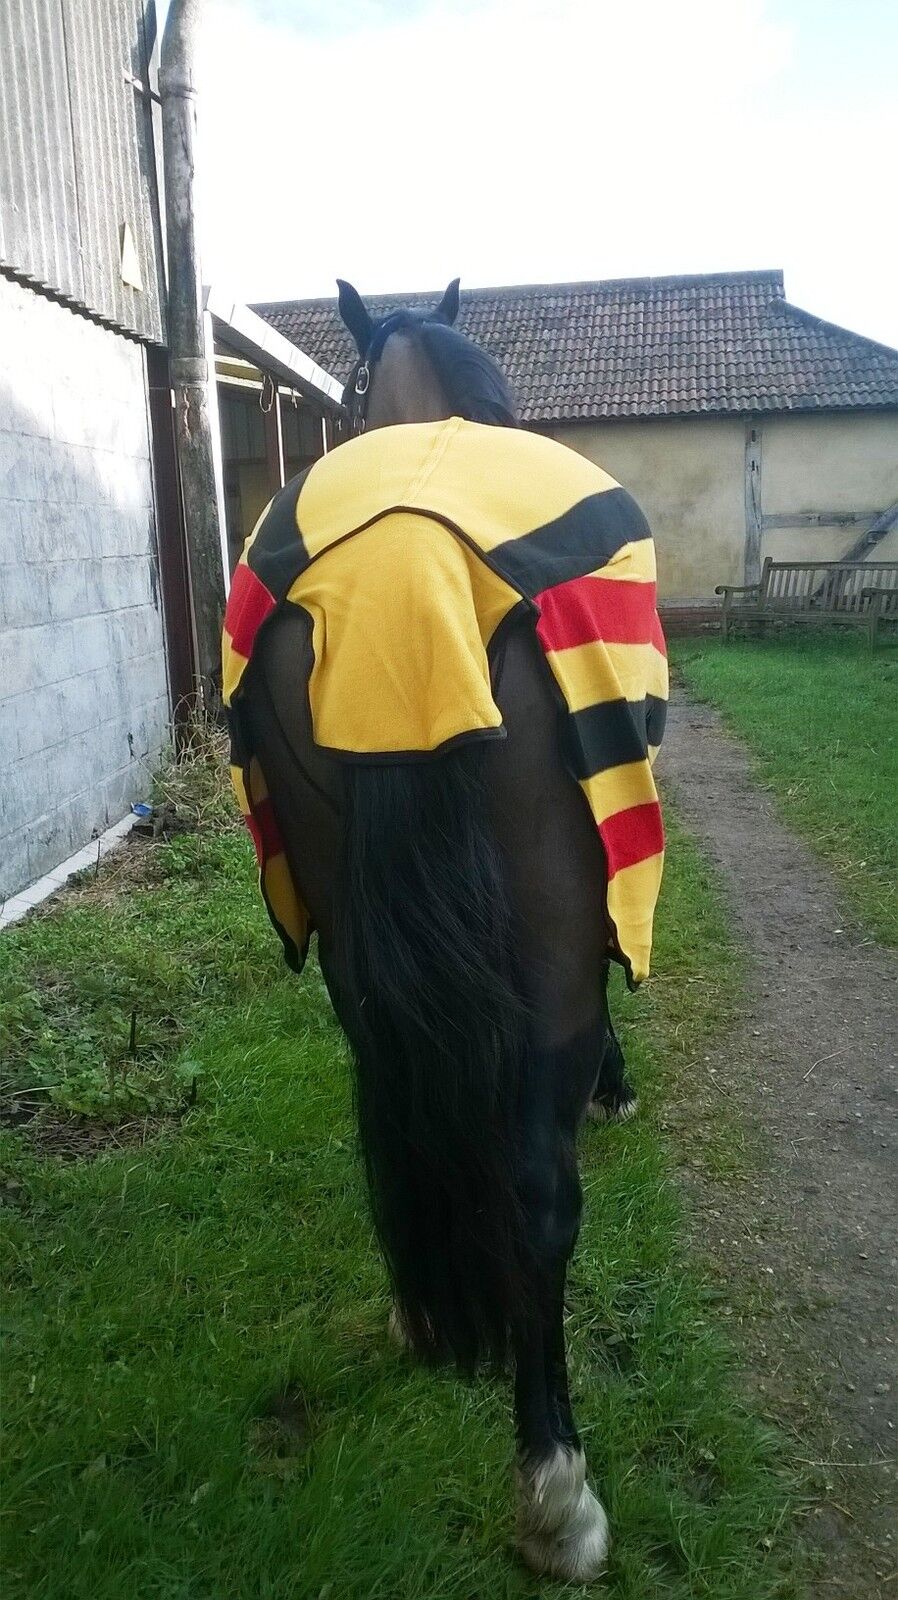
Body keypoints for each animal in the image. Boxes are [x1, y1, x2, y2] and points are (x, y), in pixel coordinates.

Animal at [226, 279, 663, 1581]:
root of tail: (406, 571)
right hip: (552, 927)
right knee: (538, 1194)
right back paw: (556, 1490)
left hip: (347, 926)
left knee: (391, 1090)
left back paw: (422, 1311)